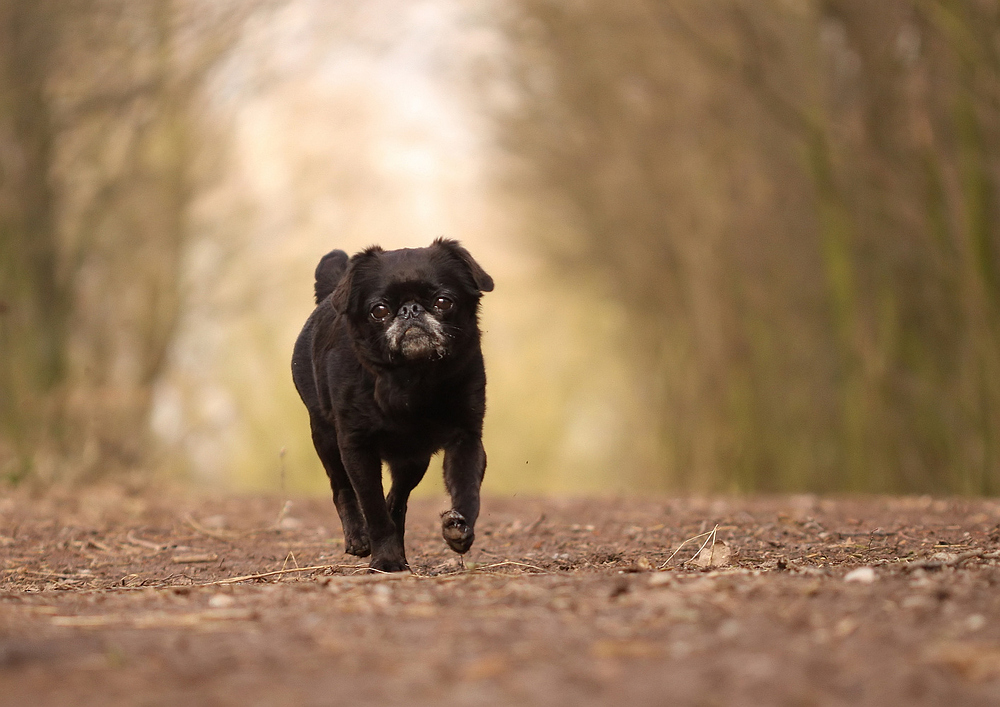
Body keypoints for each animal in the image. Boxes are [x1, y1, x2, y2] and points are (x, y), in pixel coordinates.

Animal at [290, 241, 492, 572]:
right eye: (379, 310)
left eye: (443, 302)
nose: (410, 310)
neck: (412, 379)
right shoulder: (356, 447)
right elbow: (372, 507)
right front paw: (385, 559)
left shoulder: (467, 439)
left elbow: (468, 489)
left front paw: (460, 528)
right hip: (326, 438)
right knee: (342, 490)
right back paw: (358, 538)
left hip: (413, 458)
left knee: (397, 501)